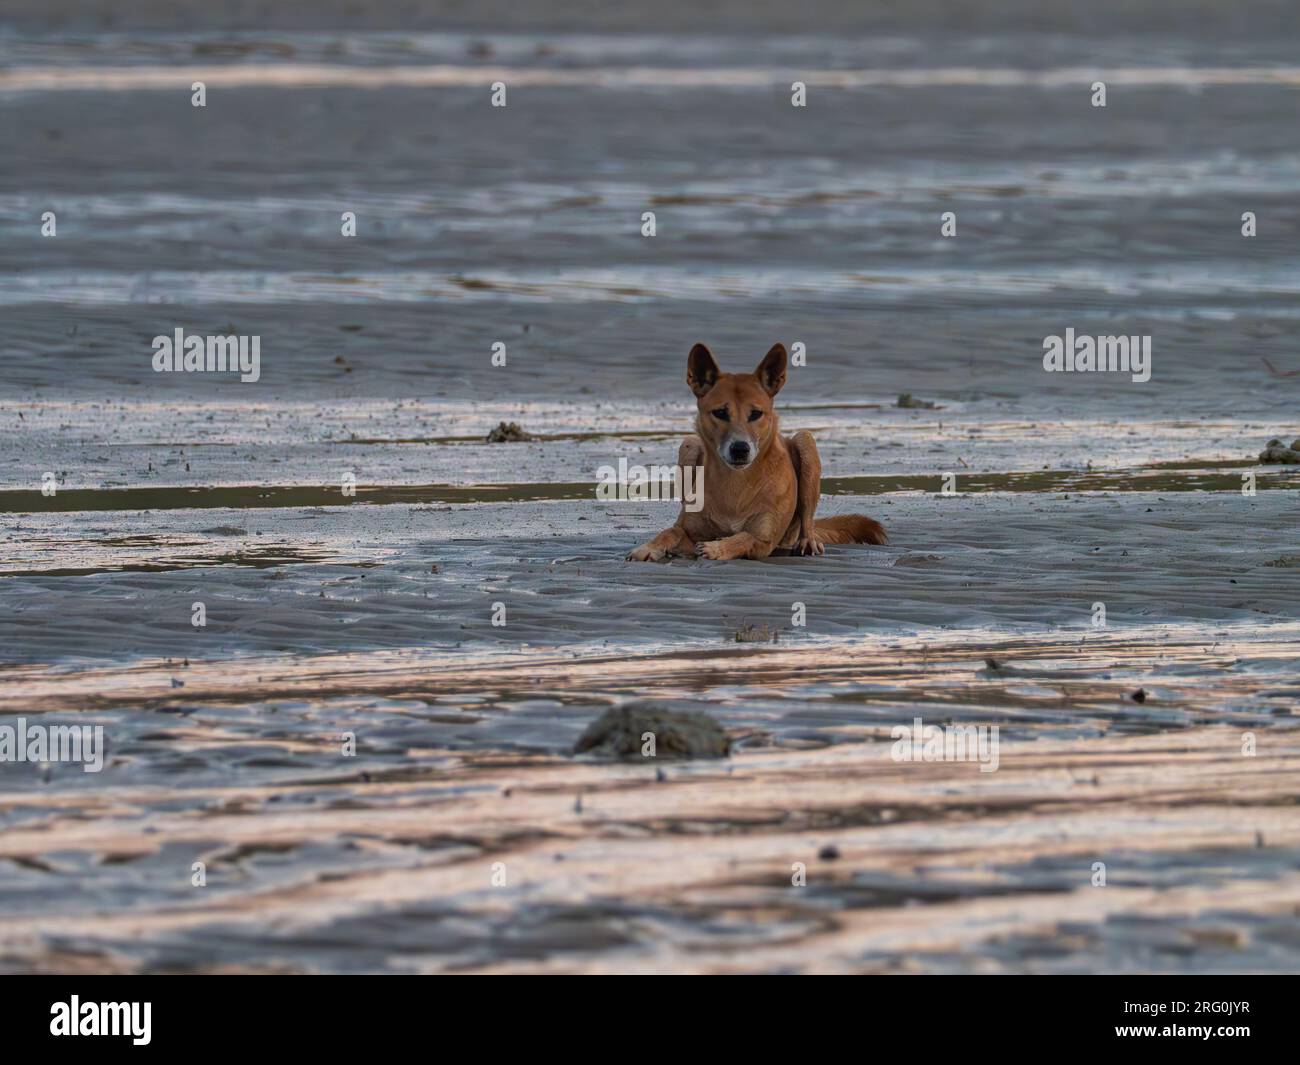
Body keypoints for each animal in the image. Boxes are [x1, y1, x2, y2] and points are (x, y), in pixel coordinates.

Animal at [626, 343, 889, 561]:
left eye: (756, 414)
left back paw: (808, 542)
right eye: (720, 412)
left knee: (808, 522)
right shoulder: (688, 531)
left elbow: (743, 537)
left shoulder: (764, 540)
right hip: (689, 445)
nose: (740, 449)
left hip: (806, 442)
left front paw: (716, 548)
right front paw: (647, 548)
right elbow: (670, 531)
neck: (735, 484)